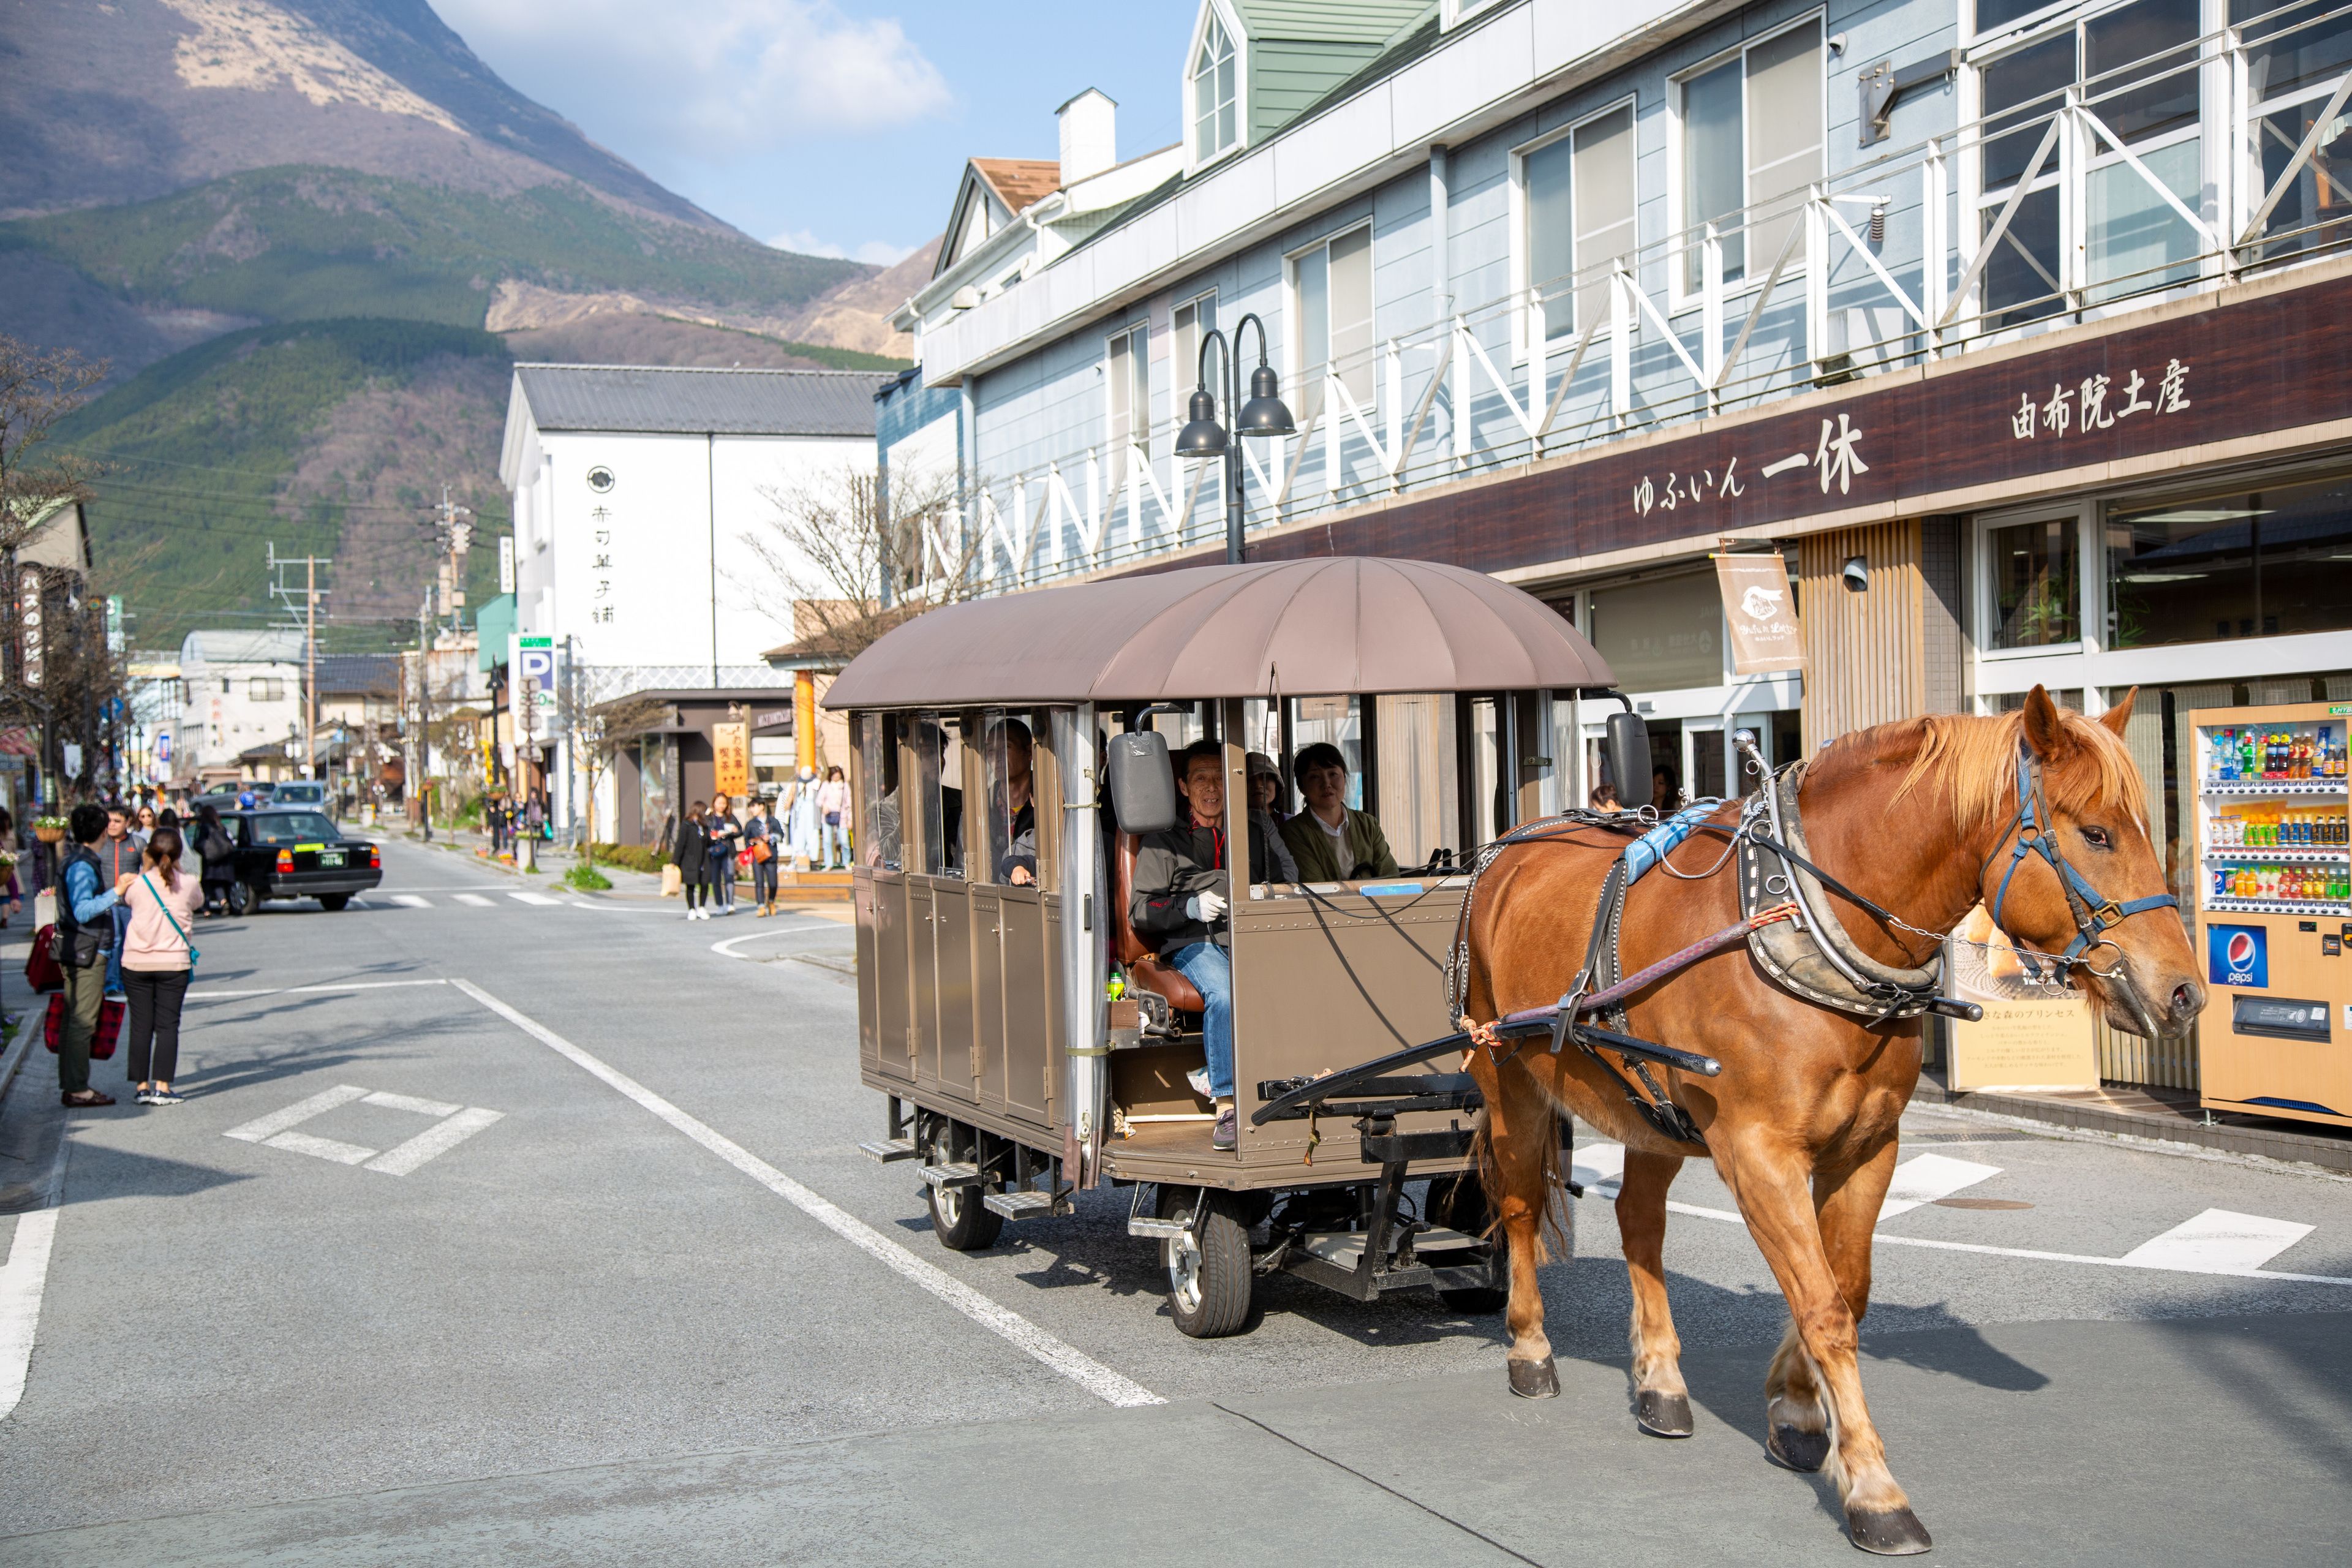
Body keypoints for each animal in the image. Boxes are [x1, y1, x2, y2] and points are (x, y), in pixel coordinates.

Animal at [1459, 687, 2202, 1555]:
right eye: (2096, 833)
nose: (2187, 993)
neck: (1811, 923)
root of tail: (1509, 846)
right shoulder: (1758, 1151)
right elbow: (1824, 1309)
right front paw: (1875, 1489)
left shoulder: (1868, 1146)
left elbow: (1845, 1288)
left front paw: (1798, 1410)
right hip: (1508, 1073)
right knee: (1517, 1204)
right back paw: (1531, 1347)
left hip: (1656, 1104)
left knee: (1640, 1220)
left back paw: (1662, 1382)